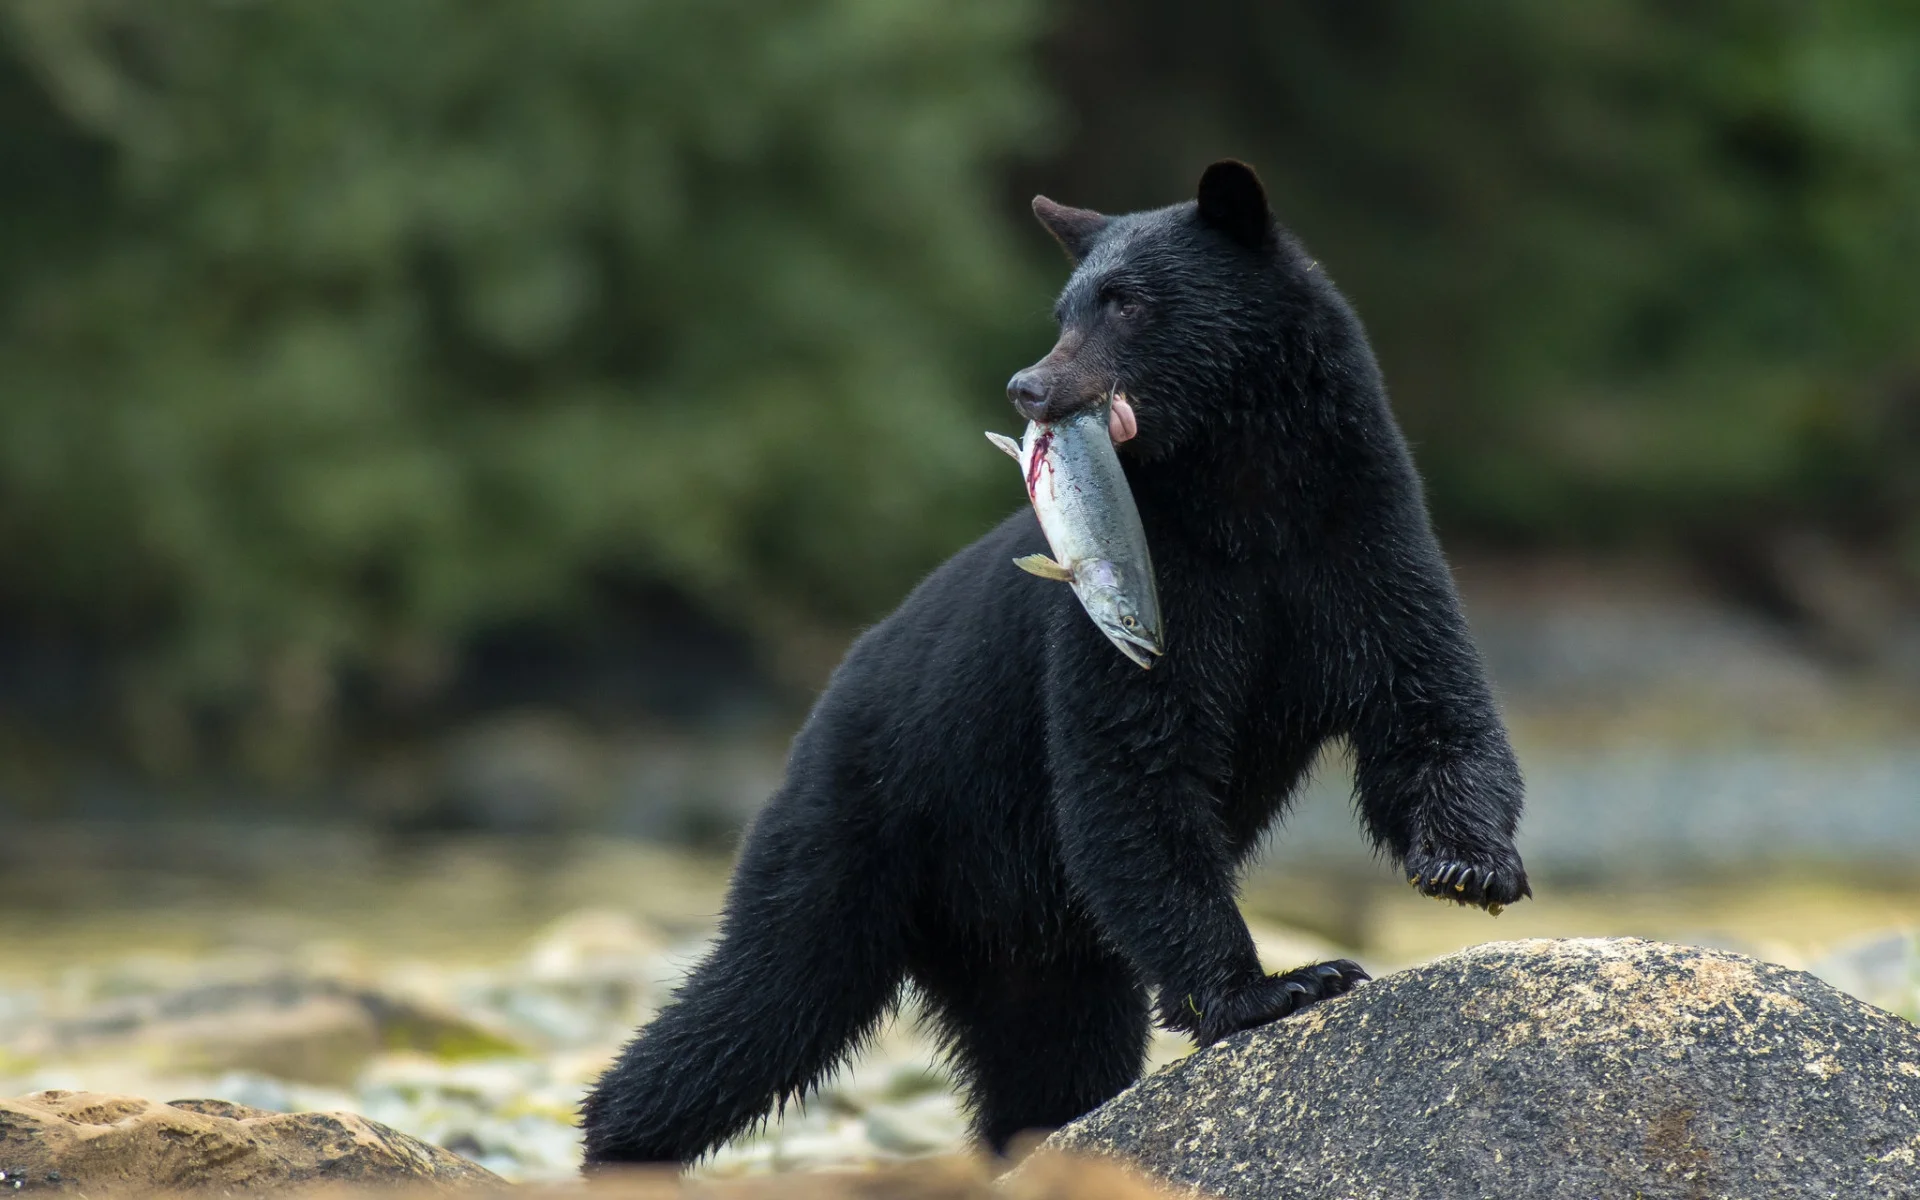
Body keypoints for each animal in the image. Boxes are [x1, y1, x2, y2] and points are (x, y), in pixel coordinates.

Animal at [583, 159, 1528, 1159]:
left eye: (1127, 302)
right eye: (1065, 308)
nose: (1028, 388)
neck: (1247, 498)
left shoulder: (1359, 542)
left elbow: (1426, 703)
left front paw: (1470, 866)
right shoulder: (1138, 602)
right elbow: (1133, 769)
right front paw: (1274, 987)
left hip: (1035, 941)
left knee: (1052, 1056)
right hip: (856, 828)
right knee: (767, 993)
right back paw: (618, 1139)